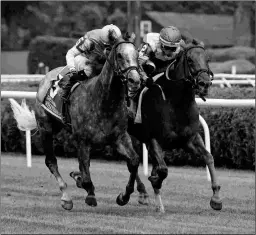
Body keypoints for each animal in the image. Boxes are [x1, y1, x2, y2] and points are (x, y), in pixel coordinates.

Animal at [11, 30, 148, 209]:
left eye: (137, 54)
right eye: (119, 55)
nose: (135, 80)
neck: (103, 101)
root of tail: (44, 78)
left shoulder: (120, 137)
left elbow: (133, 161)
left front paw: (124, 196)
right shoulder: (83, 140)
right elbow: (86, 175)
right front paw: (89, 193)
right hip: (46, 127)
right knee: (51, 161)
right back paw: (66, 197)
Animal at [128, 40, 222, 213]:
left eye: (208, 59)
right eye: (190, 60)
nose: (204, 83)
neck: (176, 103)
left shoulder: (190, 139)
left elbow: (209, 157)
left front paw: (216, 198)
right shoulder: (154, 139)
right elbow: (163, 170)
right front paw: (155, 180)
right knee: (132, 160)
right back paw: (143, 193)